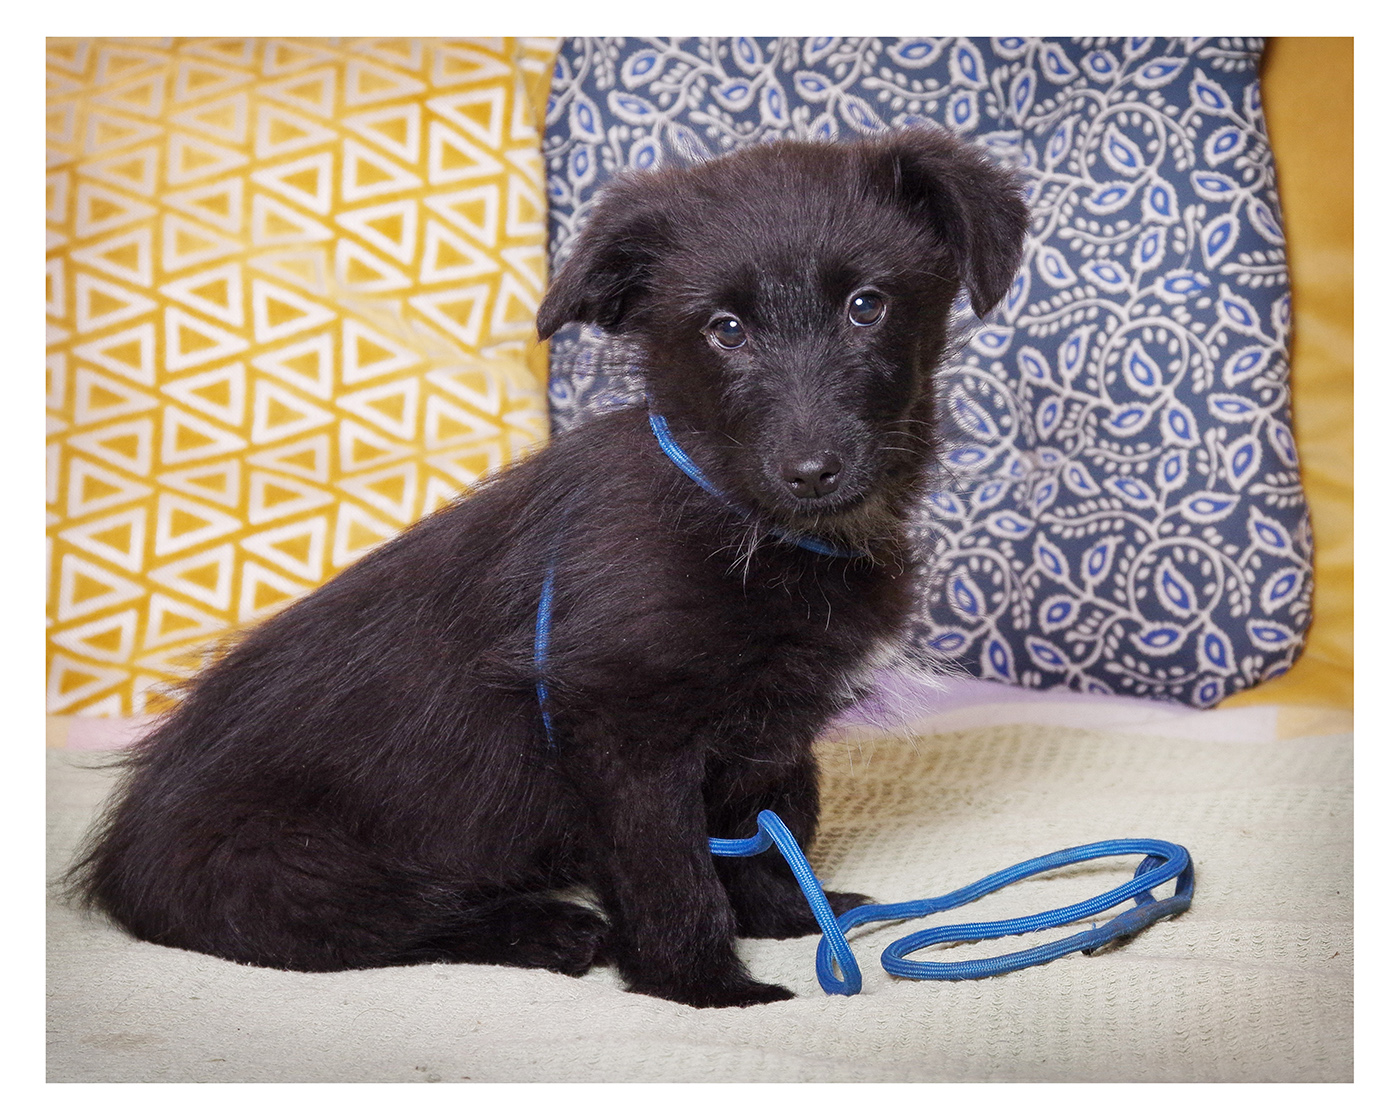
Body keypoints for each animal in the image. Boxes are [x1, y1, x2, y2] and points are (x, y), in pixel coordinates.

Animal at [69, 127, 1027, 1008]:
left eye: (867, 306)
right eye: (725, 331)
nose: (812, 470)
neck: (740, 518)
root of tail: (119, 860)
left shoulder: (772, 728)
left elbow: (771, 821)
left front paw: (793, 915)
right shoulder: (620, 731)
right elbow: (671, 871)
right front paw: (708, 986)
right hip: (293, 870)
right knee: (404, 920)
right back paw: (554, 928)